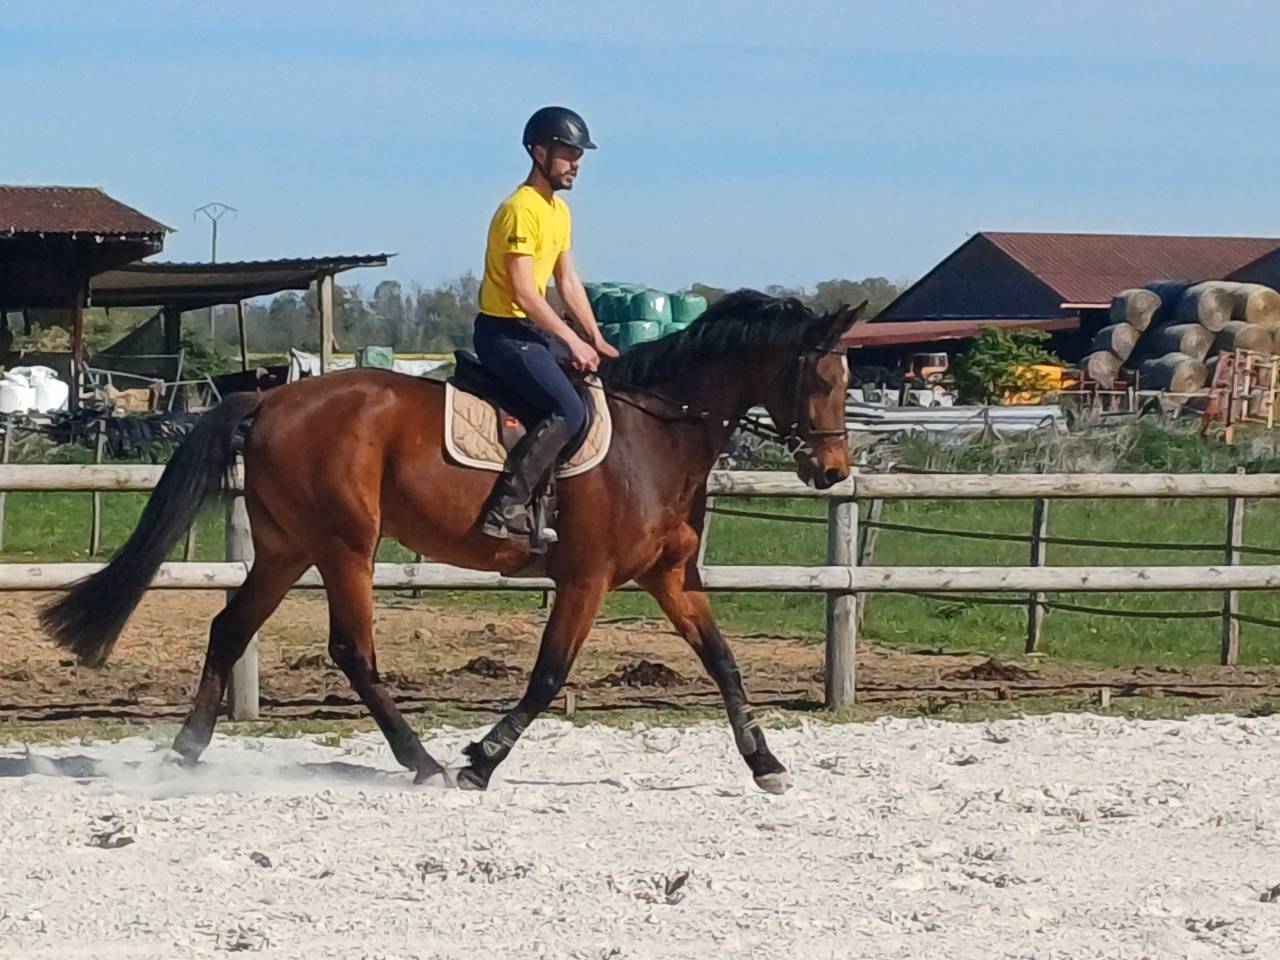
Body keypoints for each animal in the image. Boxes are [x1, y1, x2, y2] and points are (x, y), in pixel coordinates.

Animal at [40, 290, 864, 793]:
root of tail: (271, 398)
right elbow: (548, 676)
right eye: (822, 379)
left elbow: (724, 663)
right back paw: (425, 762)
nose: (831, 472)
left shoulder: (670, 578)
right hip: (346, 546)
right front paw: (481, 760)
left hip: (286, 549)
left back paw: (186, 752)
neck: (655, 433)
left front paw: (766, 764)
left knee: (229, 627)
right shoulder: (586, 578)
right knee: (351, 650)